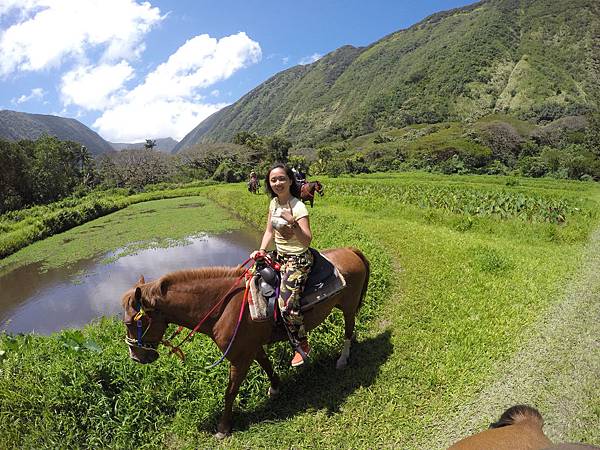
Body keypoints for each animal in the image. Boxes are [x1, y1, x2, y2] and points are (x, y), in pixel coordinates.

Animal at [120, 248, 368, 438]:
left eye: (131, 322)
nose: (136, 357)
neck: (223, 308)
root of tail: (350, 250)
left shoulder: (239, 358)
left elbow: (230, 392)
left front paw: (223, 428)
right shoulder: (252, 348)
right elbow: (267, 366)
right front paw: (275, 387)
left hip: (348, 306)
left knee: (348, 330)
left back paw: (343, 359)